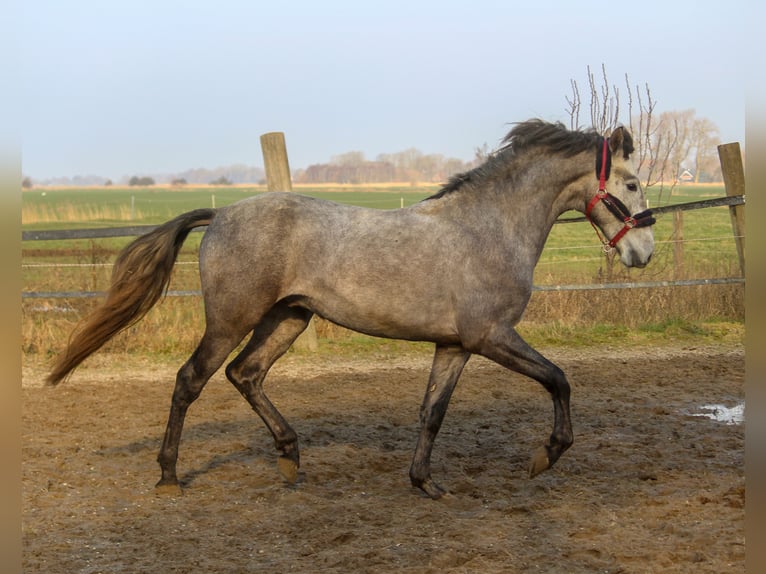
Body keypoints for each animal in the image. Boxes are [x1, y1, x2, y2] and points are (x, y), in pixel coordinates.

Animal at [48, 120, 656, 500]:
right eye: (631, 183)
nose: (643, 253)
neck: (488, 228)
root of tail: (219, 216)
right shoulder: (491, 336)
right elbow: (559, 379)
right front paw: (545, 456)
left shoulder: (455, 345)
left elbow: (432, 411)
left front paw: (426, 483)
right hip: (231, 319)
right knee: (190, 380)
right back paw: (170, 476)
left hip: (289, 318)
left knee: (245, 374)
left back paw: (290, 456)